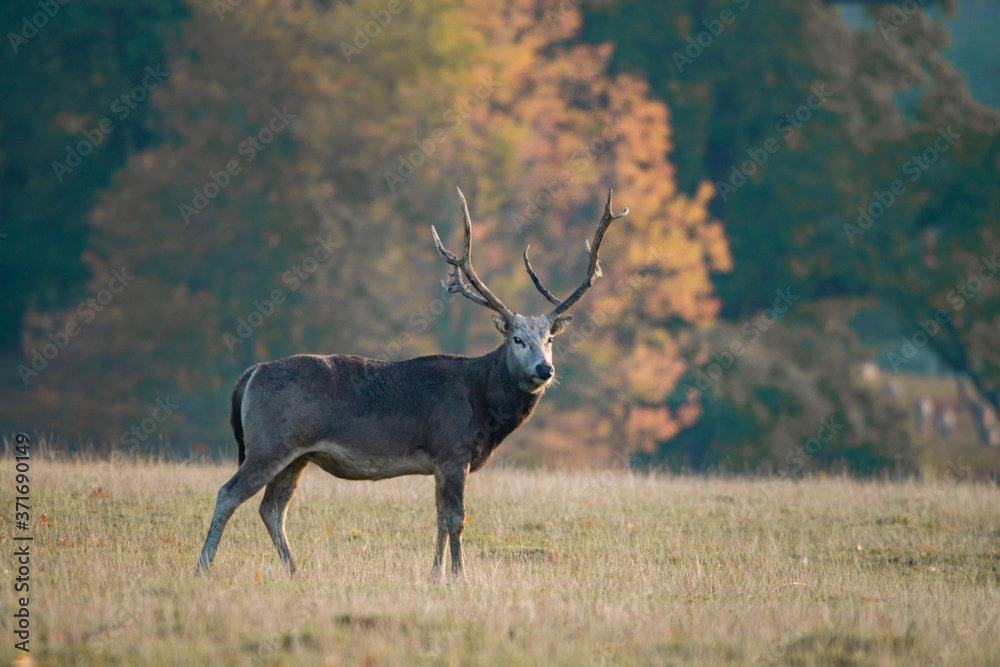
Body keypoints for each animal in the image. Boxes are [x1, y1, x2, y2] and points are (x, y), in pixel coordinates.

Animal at [196, 187, 628, 580]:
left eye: (550, 339)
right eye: (517, 339)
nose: (544, 369)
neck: (485, 407)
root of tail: (250, 374)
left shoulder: (439, 461)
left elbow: (438, 518)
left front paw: (434, 573)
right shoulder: (452, 448)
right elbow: (456, 519)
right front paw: (459, 575)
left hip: (297, 454)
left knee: (272, 507)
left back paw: (295, 570)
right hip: (269, 443)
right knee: (229, 493)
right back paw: (203, 565)